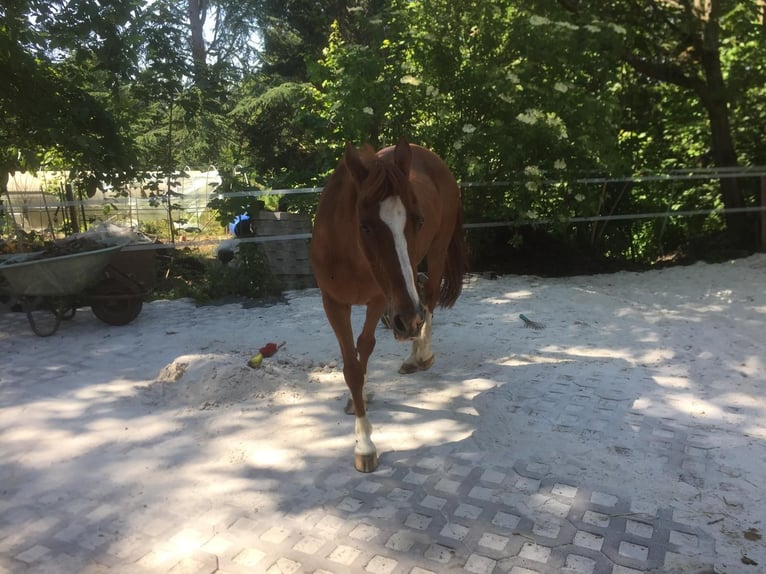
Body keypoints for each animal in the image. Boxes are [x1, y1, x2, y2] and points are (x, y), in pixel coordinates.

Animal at [311, 136, 467, 472]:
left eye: (418, 220)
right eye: (365, 226)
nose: (408, 321)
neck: (350, 255)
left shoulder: (380, 300)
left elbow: (365, 345)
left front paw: (364, 444)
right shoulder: (334, 304)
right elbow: (353, 365)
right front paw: (357, 405)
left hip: (436, 252)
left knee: (429, 298)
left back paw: (419, 356)